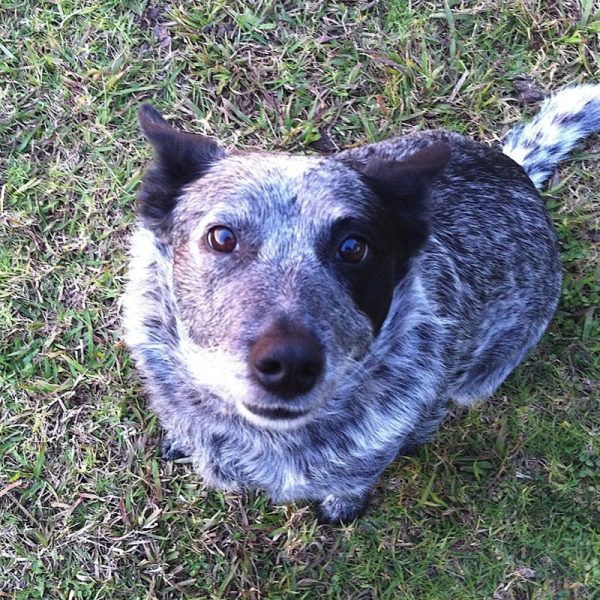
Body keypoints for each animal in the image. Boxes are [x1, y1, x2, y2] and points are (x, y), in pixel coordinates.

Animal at [122, 84, 600, 524]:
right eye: (222, 237)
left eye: (354, 247)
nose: (289, 363)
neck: (269, 440)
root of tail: (520, 173)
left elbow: (356, 479)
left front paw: (343, 505)